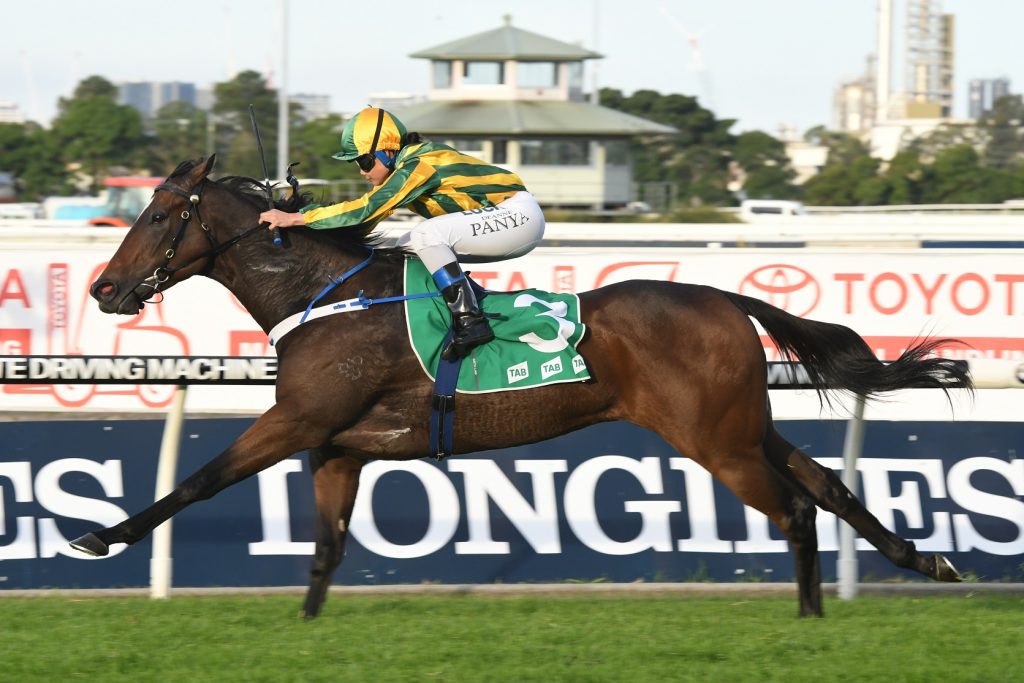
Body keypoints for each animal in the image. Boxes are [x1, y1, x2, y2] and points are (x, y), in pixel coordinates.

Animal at [72, 156, 972, 618]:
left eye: (160, 215)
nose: (104, 289)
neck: (321, 294)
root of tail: (722, 297)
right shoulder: (336, 447)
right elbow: (325, 548)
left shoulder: (295, 420)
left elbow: (198, 479)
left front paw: (100, 535)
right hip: (745, 425)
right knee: (826, 484)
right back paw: (926, 560)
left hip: (714, 439)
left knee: (795, 508)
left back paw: (812, 617)